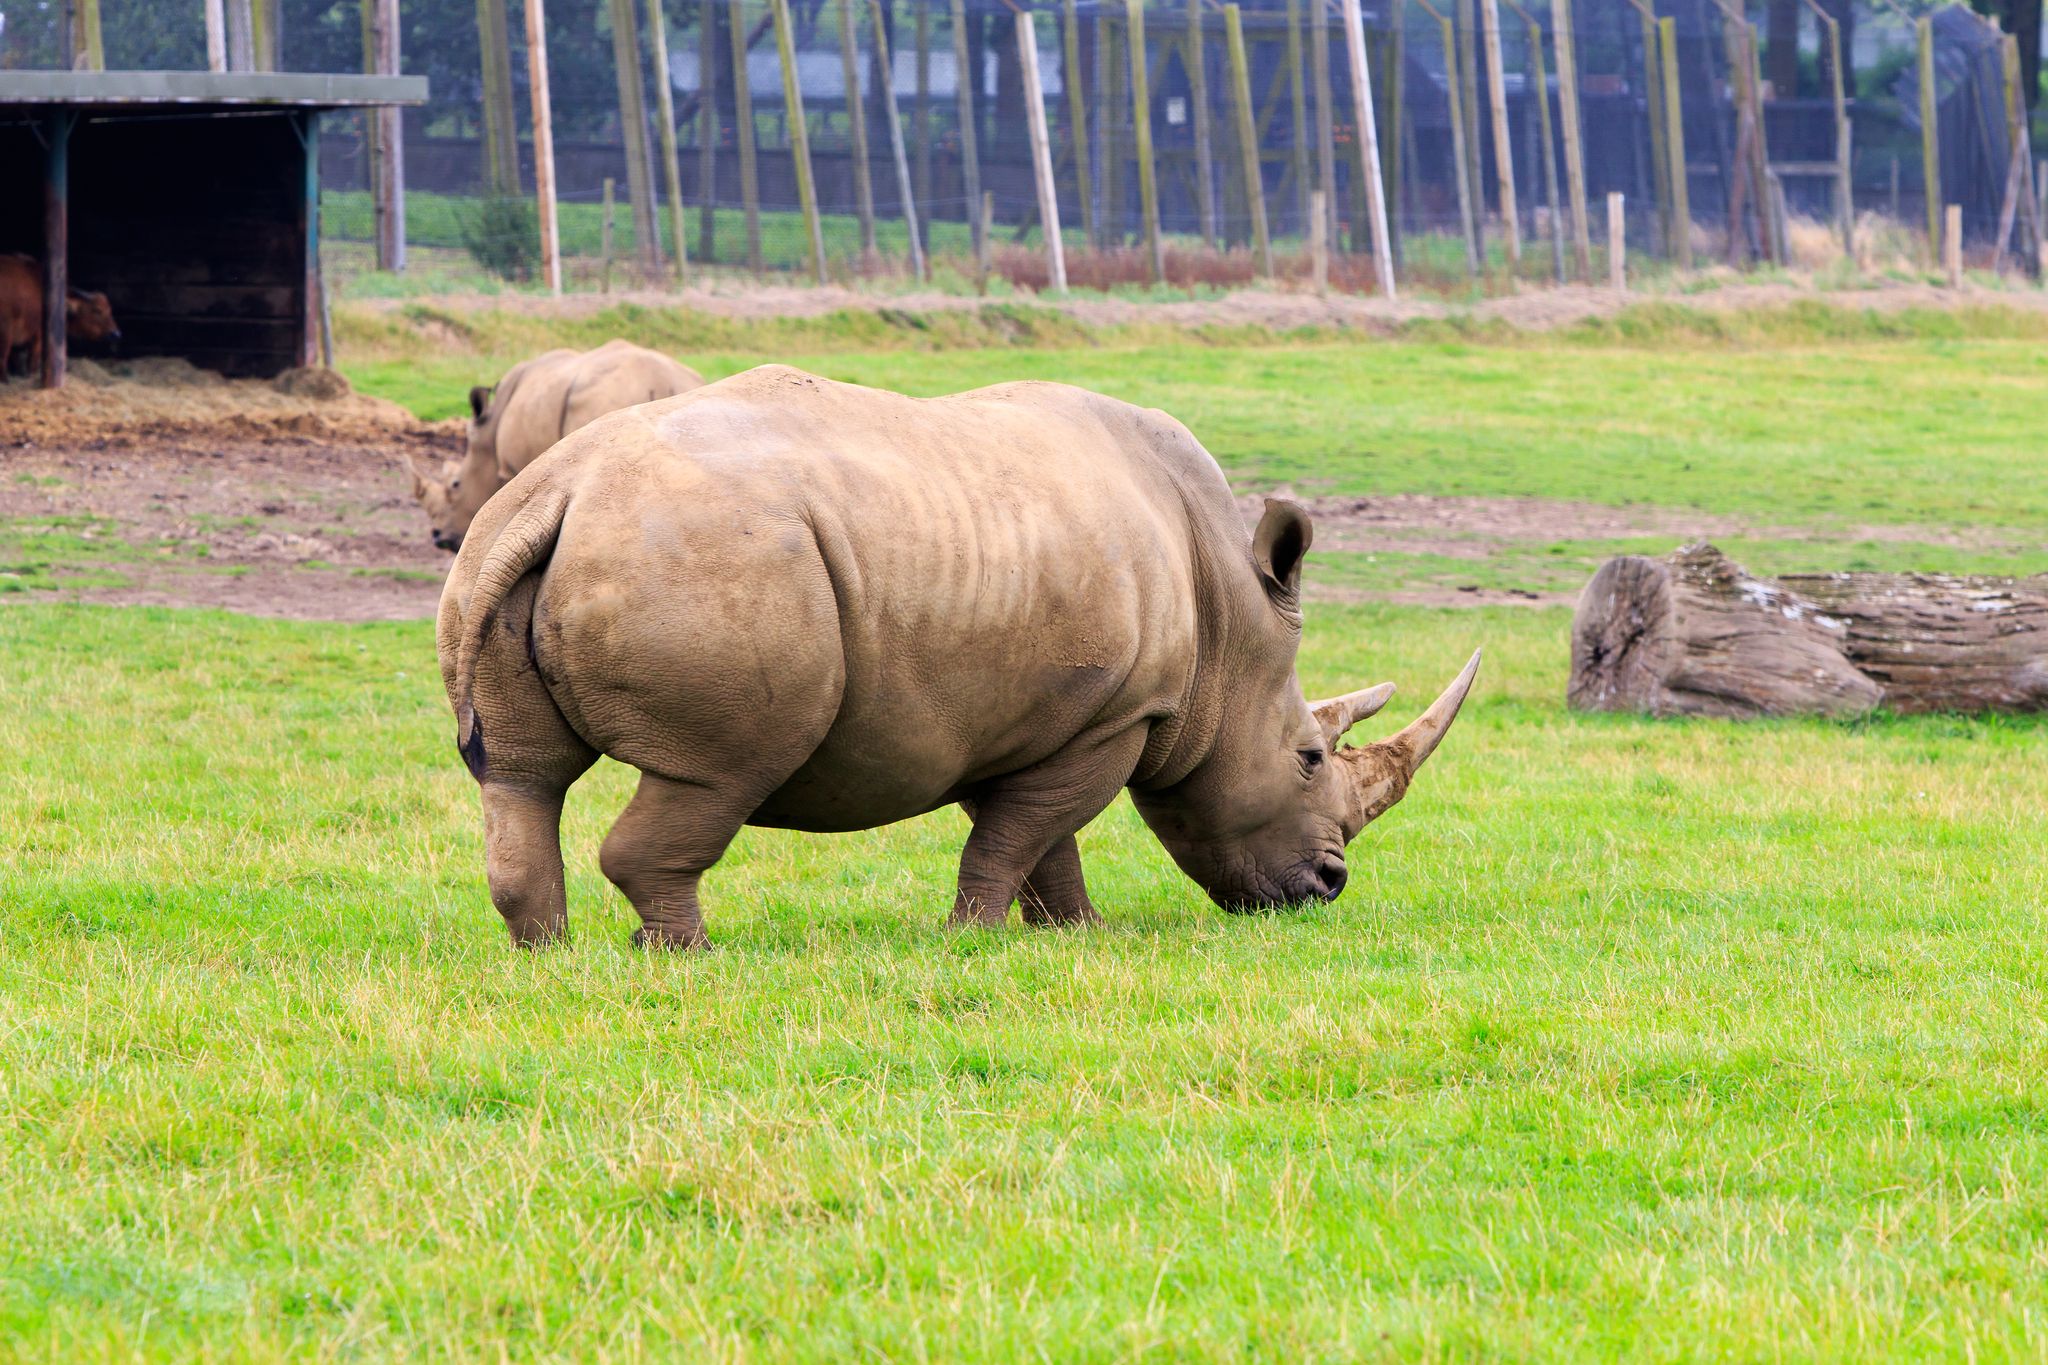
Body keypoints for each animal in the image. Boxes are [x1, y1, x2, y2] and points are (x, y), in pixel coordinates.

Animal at [439, 365, 1479, 948]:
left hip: (506, 545)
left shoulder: (1035, 712)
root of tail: (567, 487)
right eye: (1306, 757)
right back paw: (686, 954)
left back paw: (549, 952)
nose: (1328, 887)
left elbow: (1039, 835)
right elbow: (1020, 835)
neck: (1227, 613)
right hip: (718, 558)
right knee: (721, 769)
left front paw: (1076, 932)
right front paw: (972, 936)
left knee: (523, 775)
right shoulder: (1117, 712)